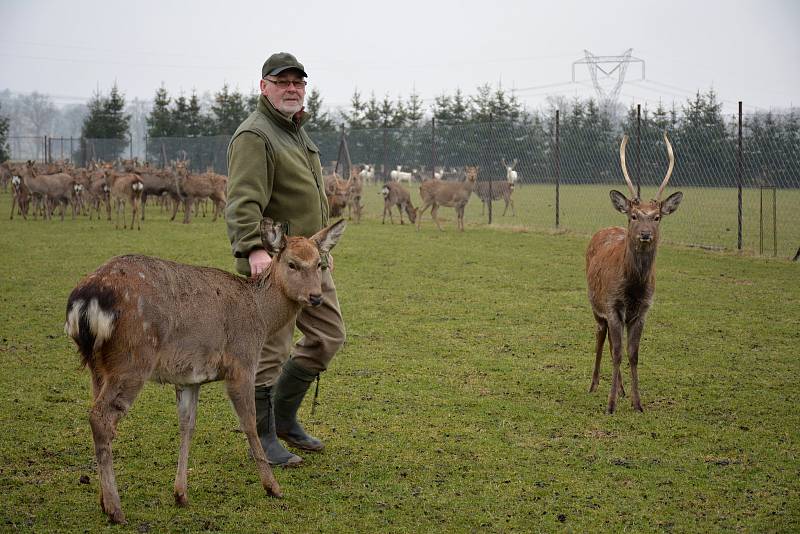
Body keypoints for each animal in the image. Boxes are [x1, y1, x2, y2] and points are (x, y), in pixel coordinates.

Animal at [64, 219, 346, 528]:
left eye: (319, 263)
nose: (316, 297)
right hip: (132, 359)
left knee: (96, 411)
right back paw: (116, 510)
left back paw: (104, 502)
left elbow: (187, 425)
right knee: (101, 417)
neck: (261, 317)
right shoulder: (242, 361)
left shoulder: (190, 377)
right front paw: (272, 487)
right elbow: (249, 422)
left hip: (98, 367)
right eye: (293, 264)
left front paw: (181, 494)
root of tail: (85, 300)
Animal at [584, 133, 684, 414]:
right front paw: (610, 405)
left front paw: (637, 403)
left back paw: (621, 389)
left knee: (610, 342)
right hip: (596, 306)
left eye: (657, 216)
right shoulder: (612, 305)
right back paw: (594, 385)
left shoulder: (643, 310)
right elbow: (618, 352)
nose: (646, 234)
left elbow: (633, 354)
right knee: (601, 337)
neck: (633, 288)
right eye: (634, 215)